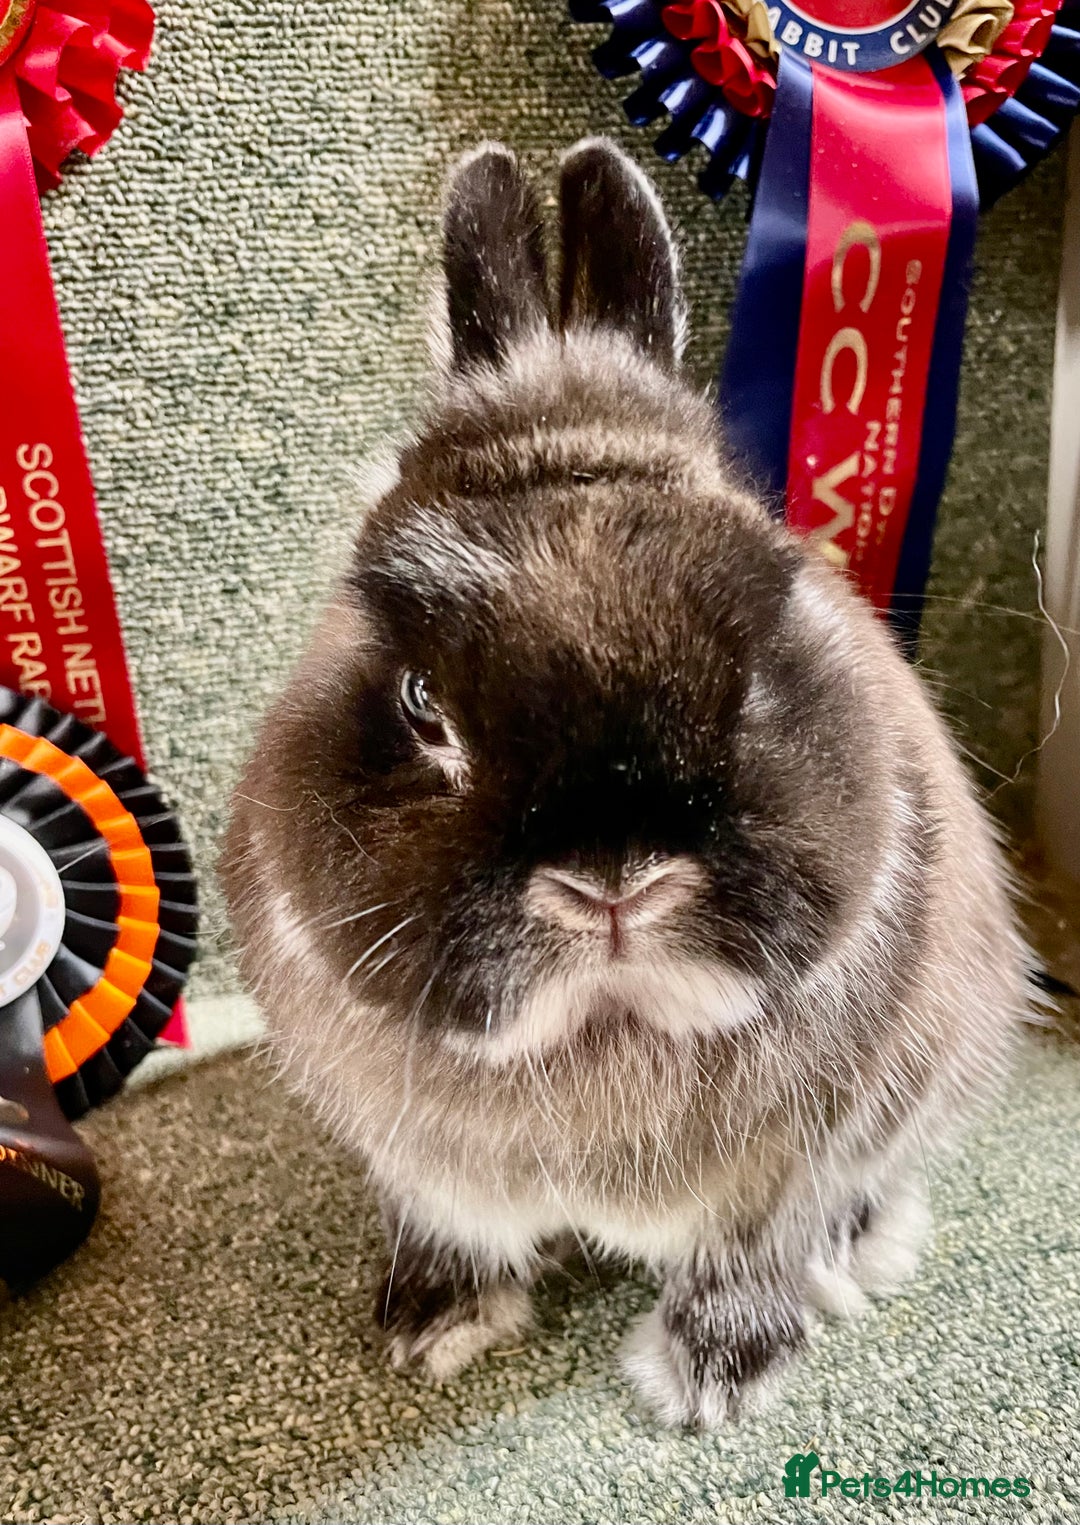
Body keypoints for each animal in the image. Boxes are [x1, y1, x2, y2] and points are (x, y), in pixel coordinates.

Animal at [221, 137, 1030, 1429]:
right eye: (421, 703)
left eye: (755, 669)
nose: (612, 882)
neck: (602, 1029)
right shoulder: (419, 1164)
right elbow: (449, 1224)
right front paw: (435, 1326)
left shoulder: (798, 1160)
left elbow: (754, 1253)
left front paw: (710, 1381)